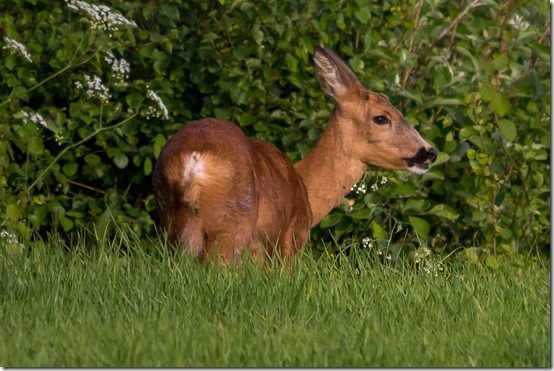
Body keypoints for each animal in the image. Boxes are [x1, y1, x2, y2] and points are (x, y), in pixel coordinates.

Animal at [151, 46, 436, 266]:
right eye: (381, 118)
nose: (429, 152)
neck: (304, 186)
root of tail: (194, 160)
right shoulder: (289, 243)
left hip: (172, 224)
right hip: (233, 222)